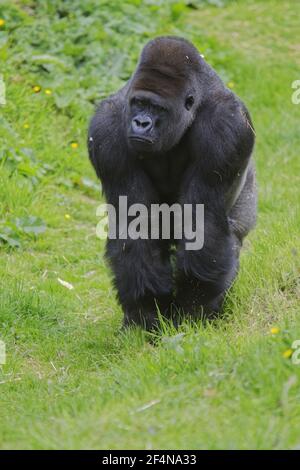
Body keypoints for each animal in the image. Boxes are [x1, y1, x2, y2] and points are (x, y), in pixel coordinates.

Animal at [88, 36, 256, 328]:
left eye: (157, 108)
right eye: (139, 103)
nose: (141, 123)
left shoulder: (228, 126)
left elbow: (202, 223)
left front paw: (194, 310)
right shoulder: (105, 130)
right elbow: (135, 224)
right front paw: (145, 311)